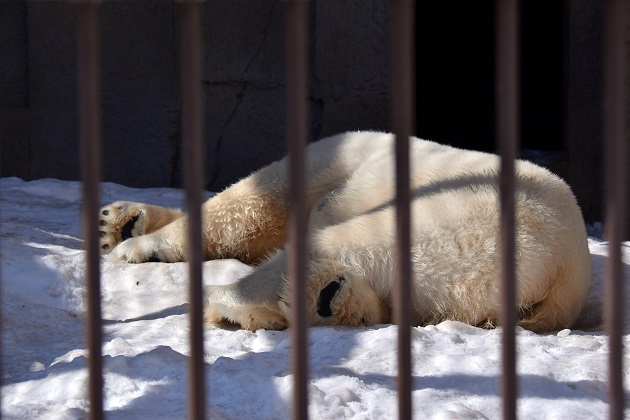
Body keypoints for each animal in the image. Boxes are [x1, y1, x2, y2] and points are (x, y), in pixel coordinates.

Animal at [99, 131, 592, 332]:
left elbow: (248, 209)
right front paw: (119, 224)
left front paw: (134, 245)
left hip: (474, 224)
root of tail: (563, 273)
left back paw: (234, 304)